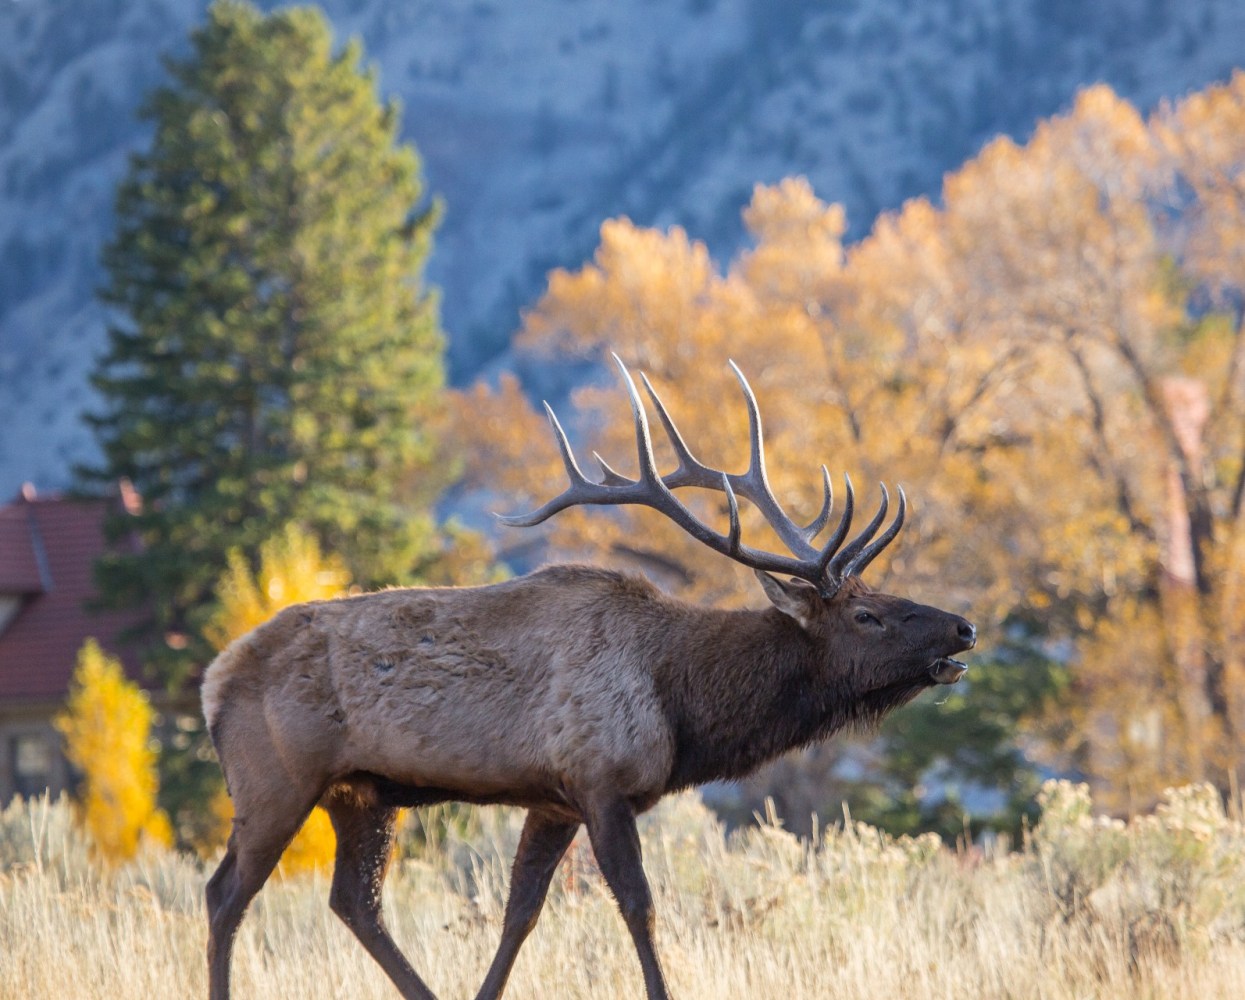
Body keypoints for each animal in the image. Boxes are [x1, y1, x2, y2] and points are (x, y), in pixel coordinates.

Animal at [204, 356, 976, 996]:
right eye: (868, 615)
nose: (964, 627)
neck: (682, 704)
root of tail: (213, 680)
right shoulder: (601, 780)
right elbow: (639, 907)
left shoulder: (554, 800)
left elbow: (520, 912)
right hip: (276, 779)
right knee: (225, 894)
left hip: (361, 792)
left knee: (354, 902)